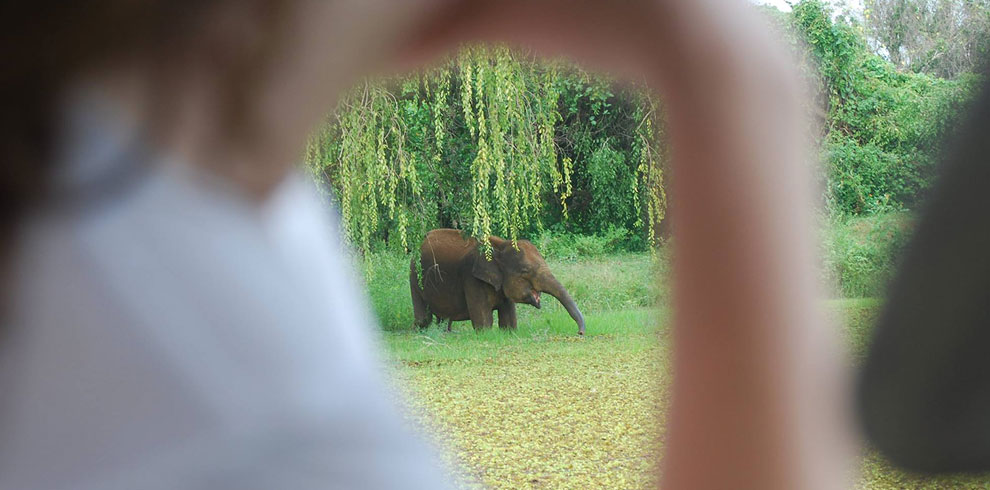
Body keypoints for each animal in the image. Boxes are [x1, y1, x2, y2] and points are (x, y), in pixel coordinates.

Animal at [412, 228, 588, 334]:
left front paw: (509, 332)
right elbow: (484, 322)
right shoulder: (471, 279)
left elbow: (508, 321)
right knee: (423, 318)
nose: (580, 333)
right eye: (525, 271)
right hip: (414, 275)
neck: (500, 245)